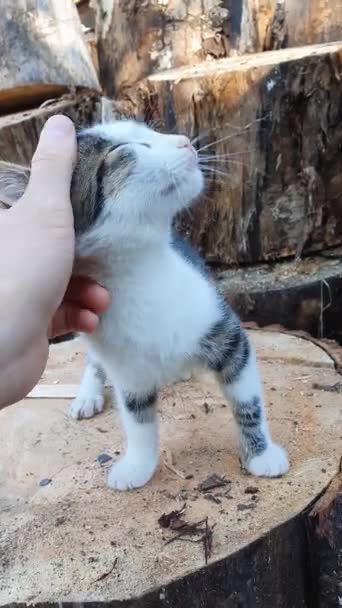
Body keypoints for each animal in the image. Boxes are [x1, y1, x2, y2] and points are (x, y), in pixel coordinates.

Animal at [0, 119, 288, 490]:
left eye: (149, 131)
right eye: (123, 151)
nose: (184, 142)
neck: (140, 275)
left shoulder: (227, 335)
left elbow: (248, 401)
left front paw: (260, 453)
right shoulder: (126, 370)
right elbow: (138, 421)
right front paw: (138, 465)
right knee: (94, 363)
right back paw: (87, 395)